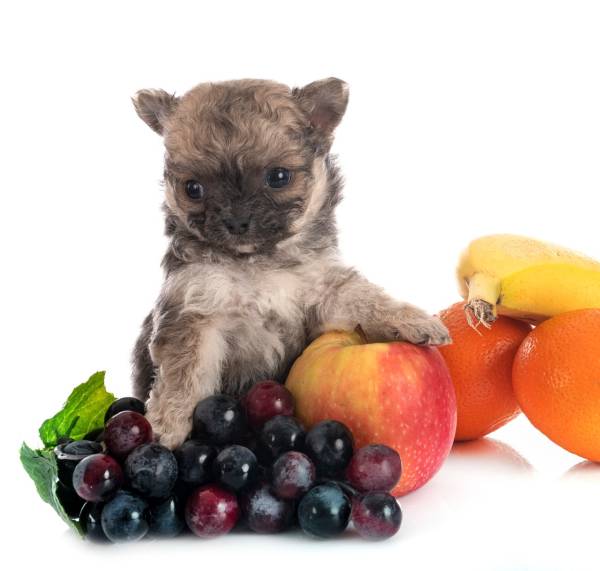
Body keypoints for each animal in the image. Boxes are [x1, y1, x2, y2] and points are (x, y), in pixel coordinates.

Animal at [131, 78, 450, 450]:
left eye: (279, 177)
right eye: (192, 188)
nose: (236, 221)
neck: (258, 263)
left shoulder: (325, 292)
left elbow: (365, 298)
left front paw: (411, 319)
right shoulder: (195, 311)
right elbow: (184, 375)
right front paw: (165, 426)